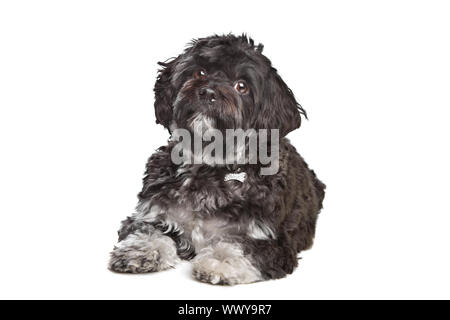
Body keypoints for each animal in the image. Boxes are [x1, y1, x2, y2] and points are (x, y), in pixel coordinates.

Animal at [109, 34, 326, 284]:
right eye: (199, 72)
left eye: (241, 86)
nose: (208, 92)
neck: (209, 166)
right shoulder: (152, 213)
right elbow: (147, 229)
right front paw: (141, 250)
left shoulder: (272, 241)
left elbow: (240, 245)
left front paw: (221, 262)